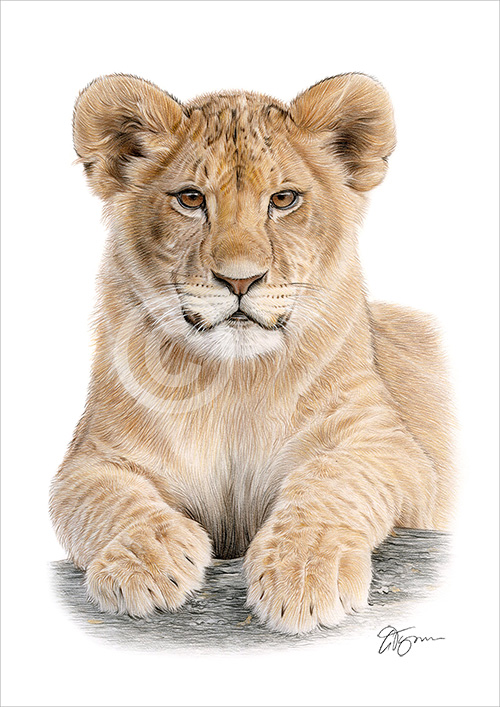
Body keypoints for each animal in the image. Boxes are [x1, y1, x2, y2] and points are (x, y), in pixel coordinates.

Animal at [50, 73, 455, 634]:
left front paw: (304, 573)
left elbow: (334, 479)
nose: (240, 280)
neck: (232, 382)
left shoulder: (390, 447)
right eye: (191, 199)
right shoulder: (92, 458)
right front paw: (146, 563)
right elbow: (107, 498)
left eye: (283, 199)